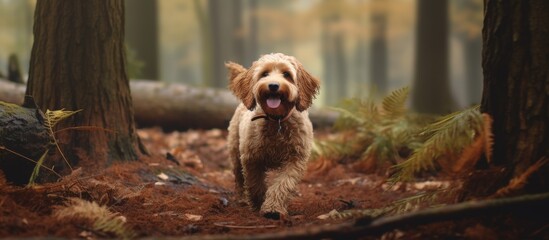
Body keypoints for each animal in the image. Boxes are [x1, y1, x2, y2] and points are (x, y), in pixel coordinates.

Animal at [225, 53, 318, 219]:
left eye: (287, 74)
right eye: (265, 74)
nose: (273, 85)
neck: (277, 120)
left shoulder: (295, 159)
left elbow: (283, 184)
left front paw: (273, 208)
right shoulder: (251, 158)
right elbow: (254, 182)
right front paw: (257, 203)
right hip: (235, 151)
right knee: (239, 177)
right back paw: (242, 199)